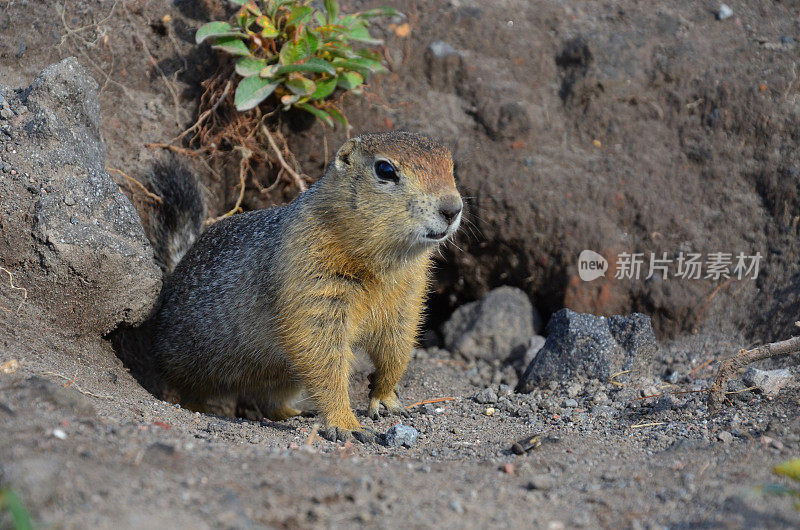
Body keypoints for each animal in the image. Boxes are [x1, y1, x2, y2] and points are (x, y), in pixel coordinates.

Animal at [150, 130, 462, 440]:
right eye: (384, 169)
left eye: (451, 165)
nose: (452, 208)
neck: (384, 264)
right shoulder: (314, 280)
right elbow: (323, 354)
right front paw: (345, 423)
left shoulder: (407, 295)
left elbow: (396, 346)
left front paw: (385, 398)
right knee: (192, 393)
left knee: (270, 401)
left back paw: (296, 413)